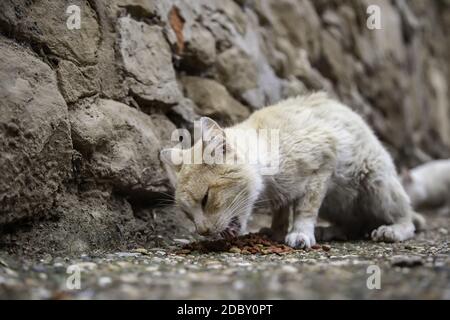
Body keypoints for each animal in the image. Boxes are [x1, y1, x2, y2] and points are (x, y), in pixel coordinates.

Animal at [161, 92, 426, 248]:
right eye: (187, 214)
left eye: (206, 199)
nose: (203, 231)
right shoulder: (282, 193)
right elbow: (281, 210)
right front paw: (276, 232)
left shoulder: (322, 167)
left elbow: (305, 208)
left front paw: (300, 233)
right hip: (336, 204)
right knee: (356, 223)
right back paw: (333, 231)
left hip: (377, 183)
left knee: (406, 219)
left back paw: (392, 230)